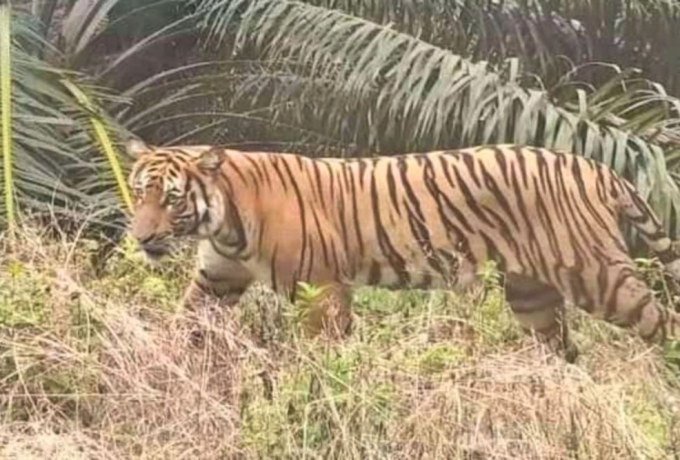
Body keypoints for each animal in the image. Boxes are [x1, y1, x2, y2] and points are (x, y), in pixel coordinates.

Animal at [125, 138, 680, 362]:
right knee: (564, 349)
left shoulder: (320, 288)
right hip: (532, 295)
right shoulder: (217, 279)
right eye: (138, 192)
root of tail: (596, 166)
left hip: (601, 277)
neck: (223, 222)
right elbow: (186, 322)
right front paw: (162, 364)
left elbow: (321, 351)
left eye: (171, 198)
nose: (141, 238)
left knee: (664, 324)